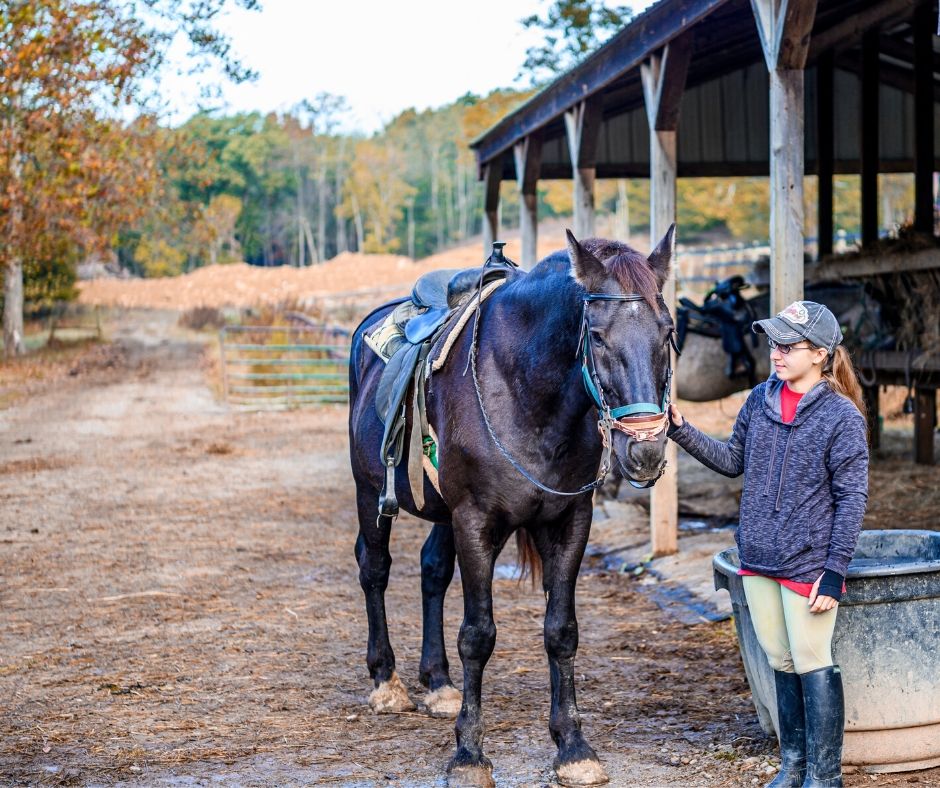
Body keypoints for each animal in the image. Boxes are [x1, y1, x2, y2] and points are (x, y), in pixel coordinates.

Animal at [348, 226, 680, 780]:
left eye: (668, 331)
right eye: (597, 337)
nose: (646, 450)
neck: (524, 392)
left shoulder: (570, 521)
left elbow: (561, 630)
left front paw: (573, 747)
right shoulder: (476, 521)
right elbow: (478, 634)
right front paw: (468, 753)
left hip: (442, 512)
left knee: (432, 570)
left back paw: (438, 683)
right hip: (371, 491)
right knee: (374, 568)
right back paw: (386, 682)